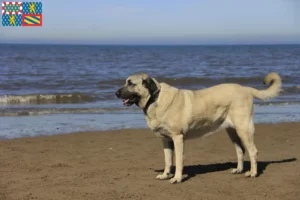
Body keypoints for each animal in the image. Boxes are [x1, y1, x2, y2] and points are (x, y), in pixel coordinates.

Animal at [115, 72, 282, 184]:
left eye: (130, 83)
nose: (115, 93)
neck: (154, 99)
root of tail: (246, 88)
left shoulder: (178, 138)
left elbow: (178, 161)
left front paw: (177, 178)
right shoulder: (166, 140)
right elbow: (168, 160)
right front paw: (165, 174)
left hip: (244, 129)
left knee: (253, 151)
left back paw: (252, 173)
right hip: (232, 131)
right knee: (240, 150)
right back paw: (239, 170)